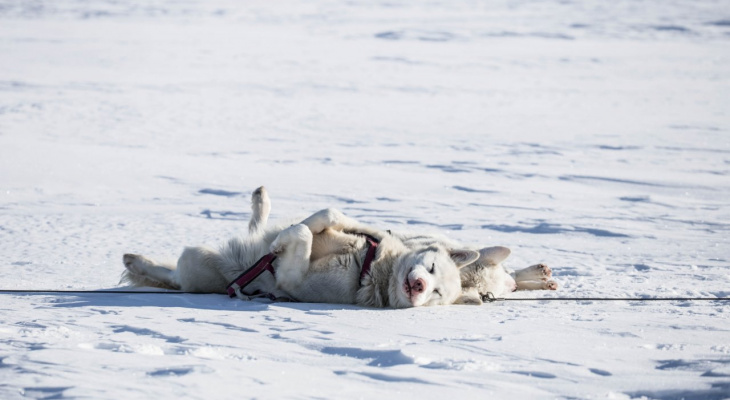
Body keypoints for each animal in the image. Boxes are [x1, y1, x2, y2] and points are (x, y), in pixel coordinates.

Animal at [122, 189, 480, 308]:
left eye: (436, 294)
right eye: (431, 268)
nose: (419, 286)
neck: (370, 266)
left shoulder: (293, 281)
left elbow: (303, 236)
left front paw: (283, 242)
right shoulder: (358, 232)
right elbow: (327, 216)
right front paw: (292, 230)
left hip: (197, 261)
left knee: (173, 277)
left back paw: (136, 262)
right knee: (255, 229)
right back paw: (261, 203)